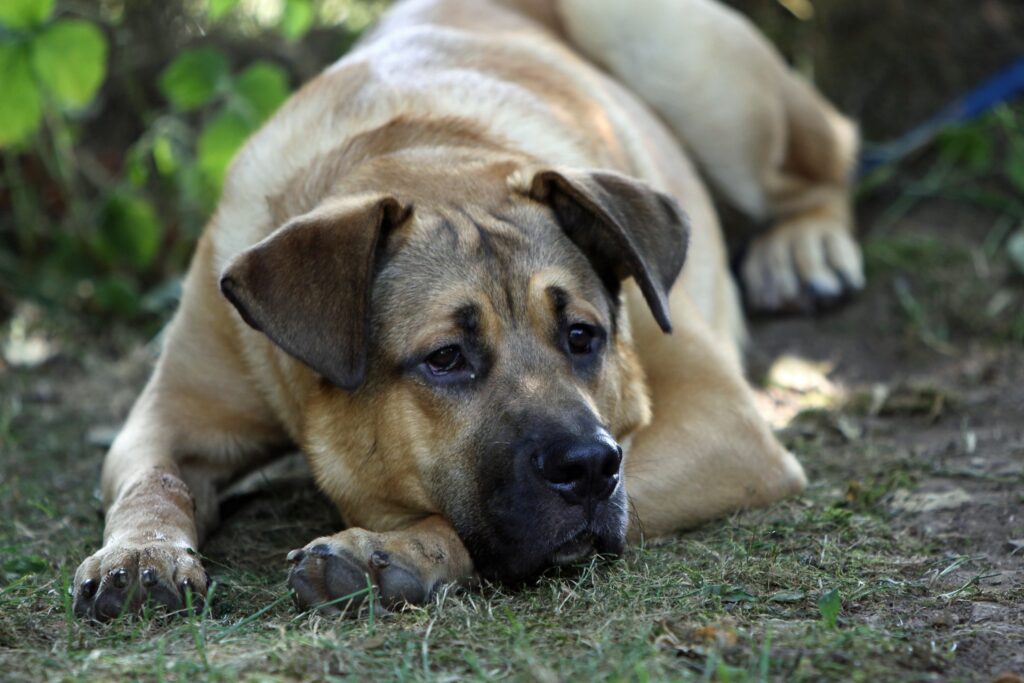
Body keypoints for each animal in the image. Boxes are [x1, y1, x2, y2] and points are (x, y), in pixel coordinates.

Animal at [68, 0, 860, 618]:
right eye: (446, 358)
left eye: (583, 336)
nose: (590, 466)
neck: (422, 151)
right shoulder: (174, 410)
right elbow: (153, 479)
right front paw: (139, 554)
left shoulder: (725, 421)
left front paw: (392, 550)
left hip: (673, 55)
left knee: (829, 153)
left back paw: (806, 247)